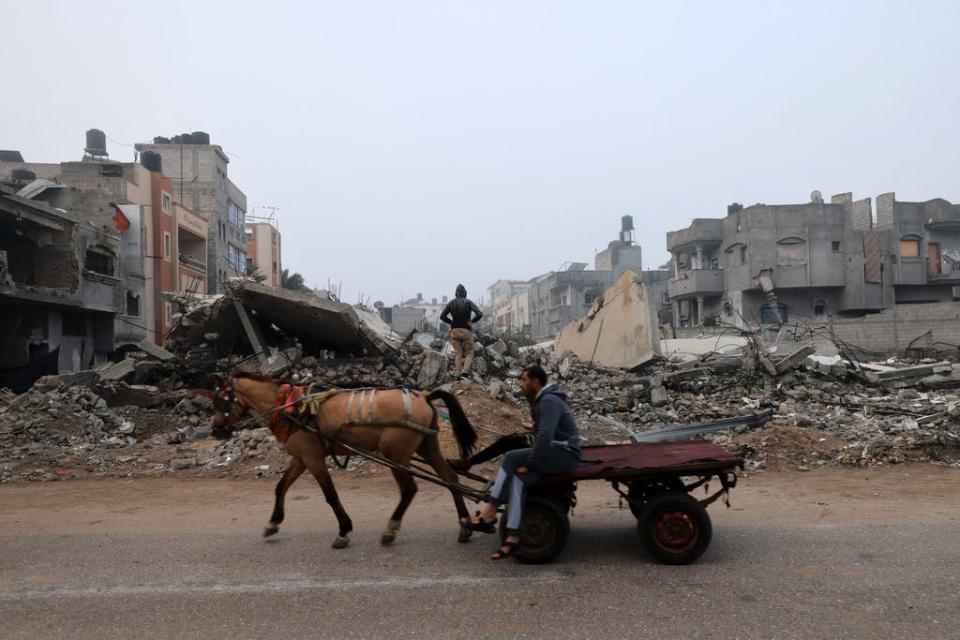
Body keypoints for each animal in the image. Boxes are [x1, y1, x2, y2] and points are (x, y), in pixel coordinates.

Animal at [212, 376, 478, 552]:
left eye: (223, 401)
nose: (216, 430)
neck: (290, 407)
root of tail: (423, 395)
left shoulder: (313, 458)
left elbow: (331, 495)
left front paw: (344, 531)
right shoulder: (301, 457)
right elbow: (281, 487)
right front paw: (273, 523)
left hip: (395, 454)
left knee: (409, 489)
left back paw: (390, 529)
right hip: (427, 446)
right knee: (450, 479)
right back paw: (464, 526)